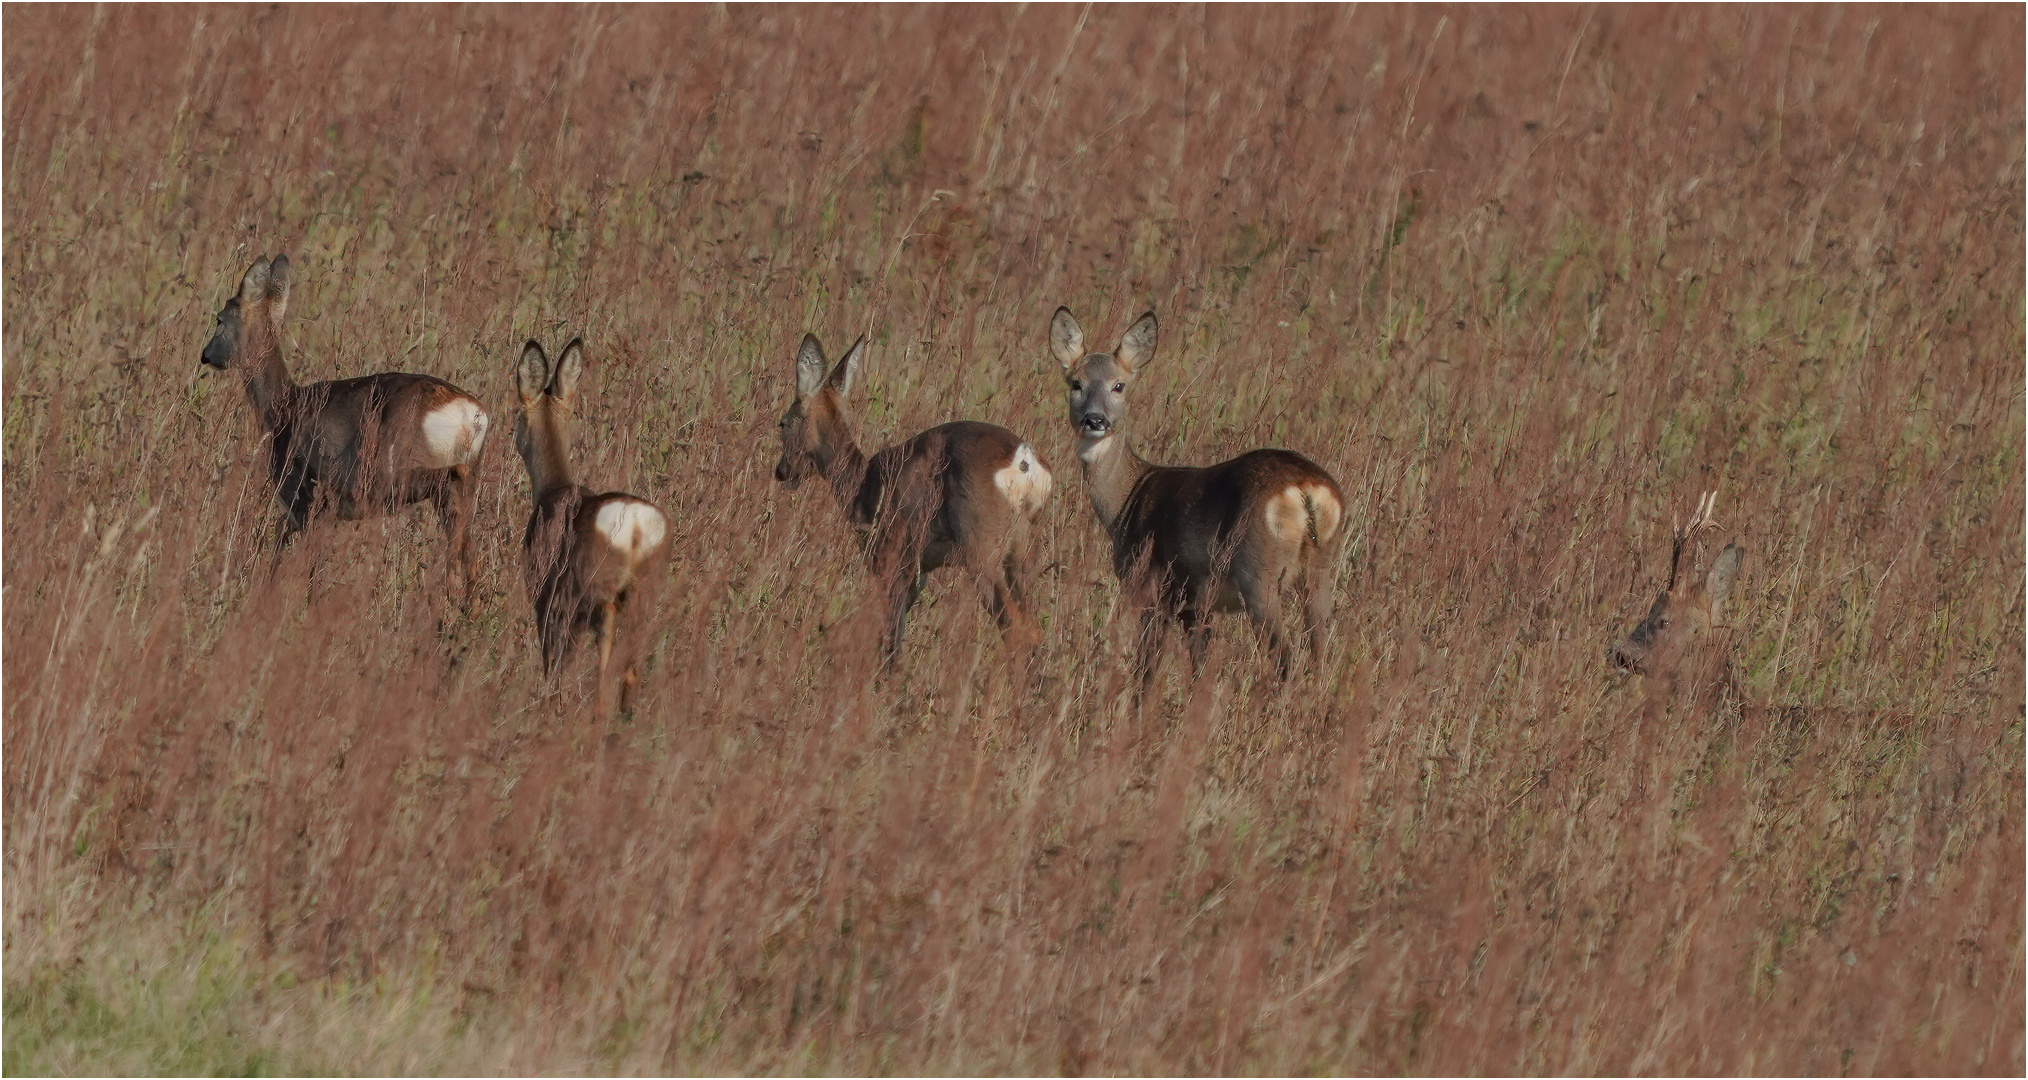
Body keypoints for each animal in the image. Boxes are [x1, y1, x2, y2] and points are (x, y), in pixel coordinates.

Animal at [197, 254, 490, 607]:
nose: (205, 355)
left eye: (220, 319)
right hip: (462, 479)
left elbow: (306, 564)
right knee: (469, 549)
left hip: (393, 470)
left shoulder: (306, 498)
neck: (282, 407)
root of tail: (470, 413)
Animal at [511, 340, 669, 721]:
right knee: (631, 669)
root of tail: (638, 527)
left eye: (517, 416)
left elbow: (553, 663)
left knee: (606, 666)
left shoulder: (546, 599)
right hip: (645, 591)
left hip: (598, 593)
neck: (553, 489)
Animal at [770, 330, 1054, 664]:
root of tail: (1024, 459)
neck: (862, 483)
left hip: (982, 545)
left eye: (783, 422)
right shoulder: (919, 568)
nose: (781, 471)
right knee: (1033, 627)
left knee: (1016, 627)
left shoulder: (887, 556)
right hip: (1020, 550)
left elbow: (890, 636)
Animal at [1046, 305, 1346, 688]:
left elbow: (1146, 670)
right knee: (1321, 650)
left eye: (1119, 385)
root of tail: (1305, 487)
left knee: (1285, 658)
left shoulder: (1153, 588)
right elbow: (1198, 670)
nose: (1094, 420)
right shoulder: (1196, 605)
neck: (1126, 500)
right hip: (1320, 567)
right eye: (1076, 383)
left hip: (1258, 572)